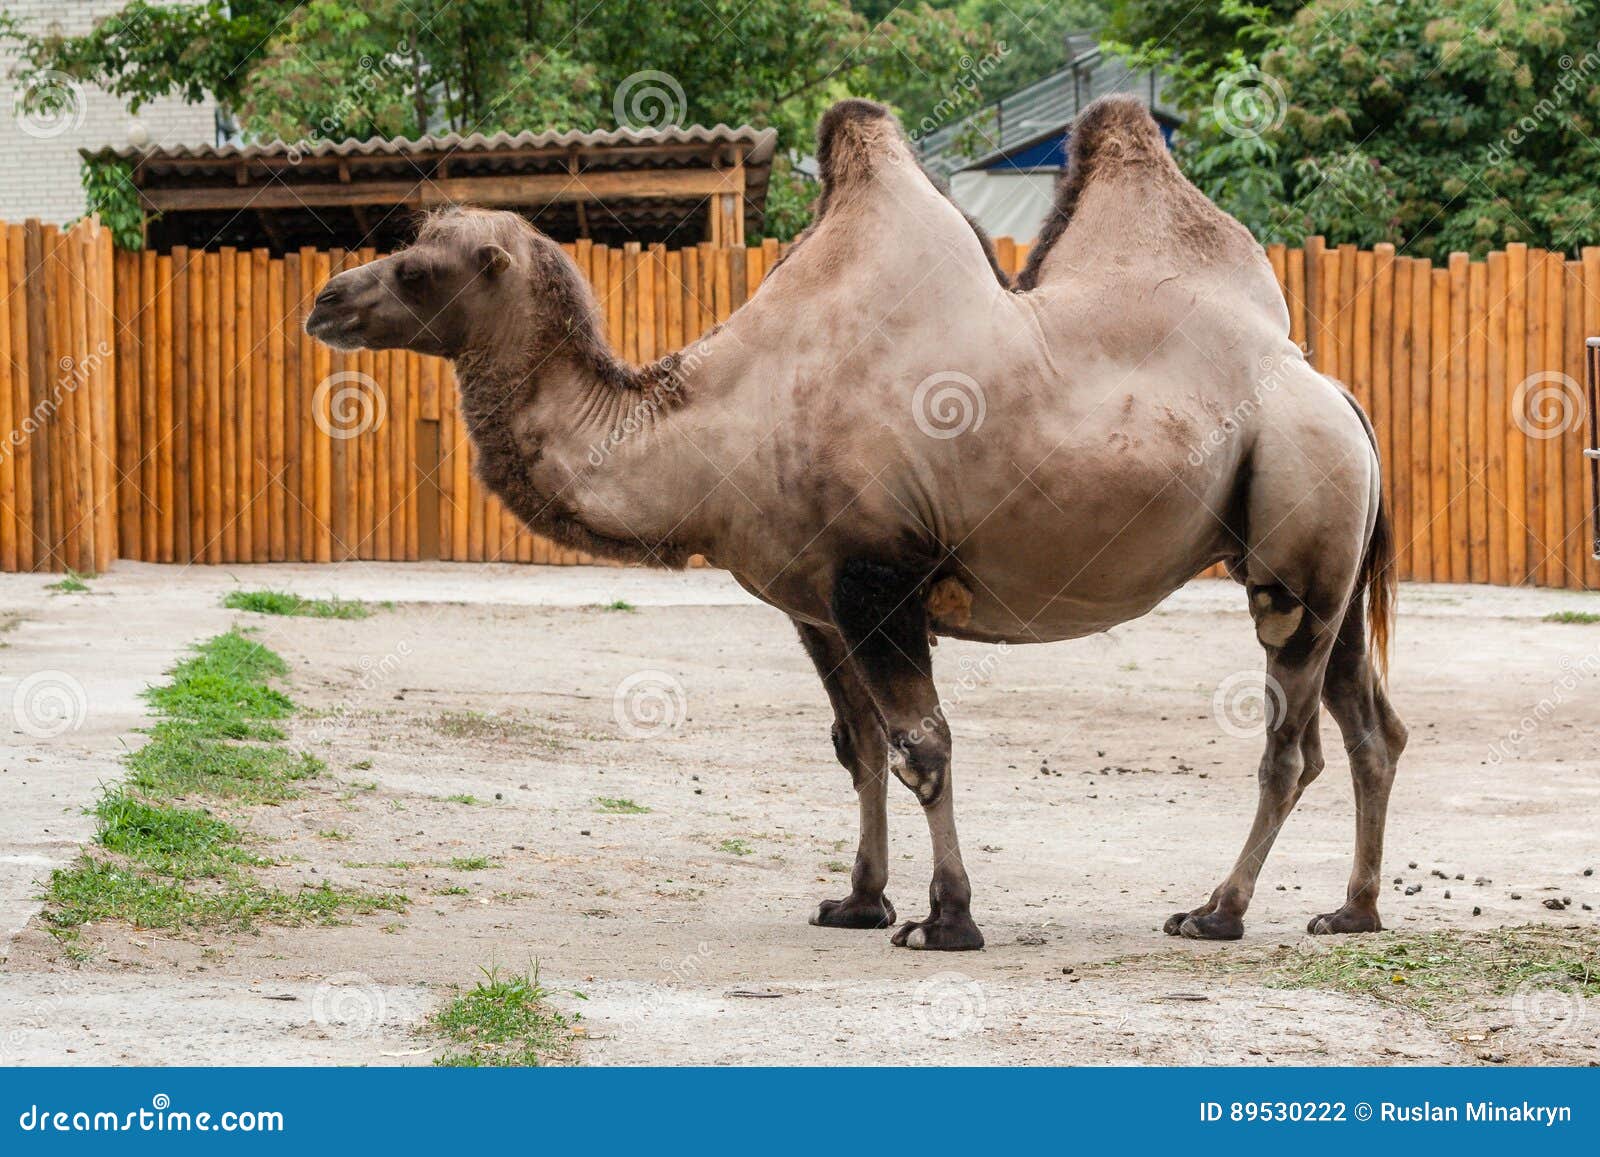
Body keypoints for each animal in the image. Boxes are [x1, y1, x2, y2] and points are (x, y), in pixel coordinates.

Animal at [305, 97, 1408, 947]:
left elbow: (923, 742)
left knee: (1292, 742)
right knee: (1373, 729)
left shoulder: (881, 575)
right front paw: (859, 899)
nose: (324, 299)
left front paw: (947, 918)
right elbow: (860, 745)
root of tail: (1334, 390)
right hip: (1334, 556)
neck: (717, 420)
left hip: (1295, 533)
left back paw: (1215, 911)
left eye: (419, 267)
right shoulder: (817, 599)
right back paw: (1351, 911)